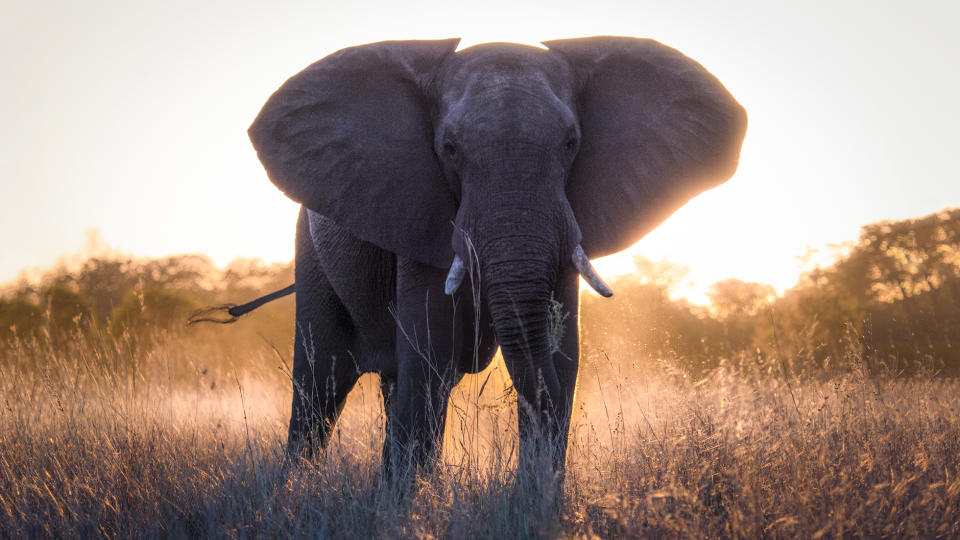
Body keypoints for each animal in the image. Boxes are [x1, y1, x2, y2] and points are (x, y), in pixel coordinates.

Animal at [229, 37, 748, 472]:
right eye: (450, 149)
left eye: (571, 144)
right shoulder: (420, 212)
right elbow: (431, 357)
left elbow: (561, 360)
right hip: (311, 255)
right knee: (320, 386)